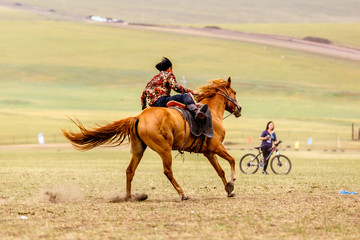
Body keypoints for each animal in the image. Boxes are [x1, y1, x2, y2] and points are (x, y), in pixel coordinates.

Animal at [62, 77, 242, 201]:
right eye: (234, 93)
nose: (239, 109)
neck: (211, 112)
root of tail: (138, 117)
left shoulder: (208, 152)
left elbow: (220, 170)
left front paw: (229, 190)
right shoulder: (217, 147)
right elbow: (232, 160)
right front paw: (232, 183)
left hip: (138, 150)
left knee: (130, 170)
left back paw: (129, 197)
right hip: (164, 150)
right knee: (167, 171)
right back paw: (182, 194)